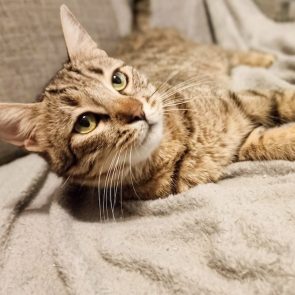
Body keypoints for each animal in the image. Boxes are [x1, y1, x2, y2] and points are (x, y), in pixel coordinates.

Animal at [0, 6, 295, 201]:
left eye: (118, 80)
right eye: (85, 123)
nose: (138, 111)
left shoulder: (239, 102)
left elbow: (284, 99)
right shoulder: (242, 142)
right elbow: (275, 140)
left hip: (203, 52)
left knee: (227, 51)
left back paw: (262, 58)